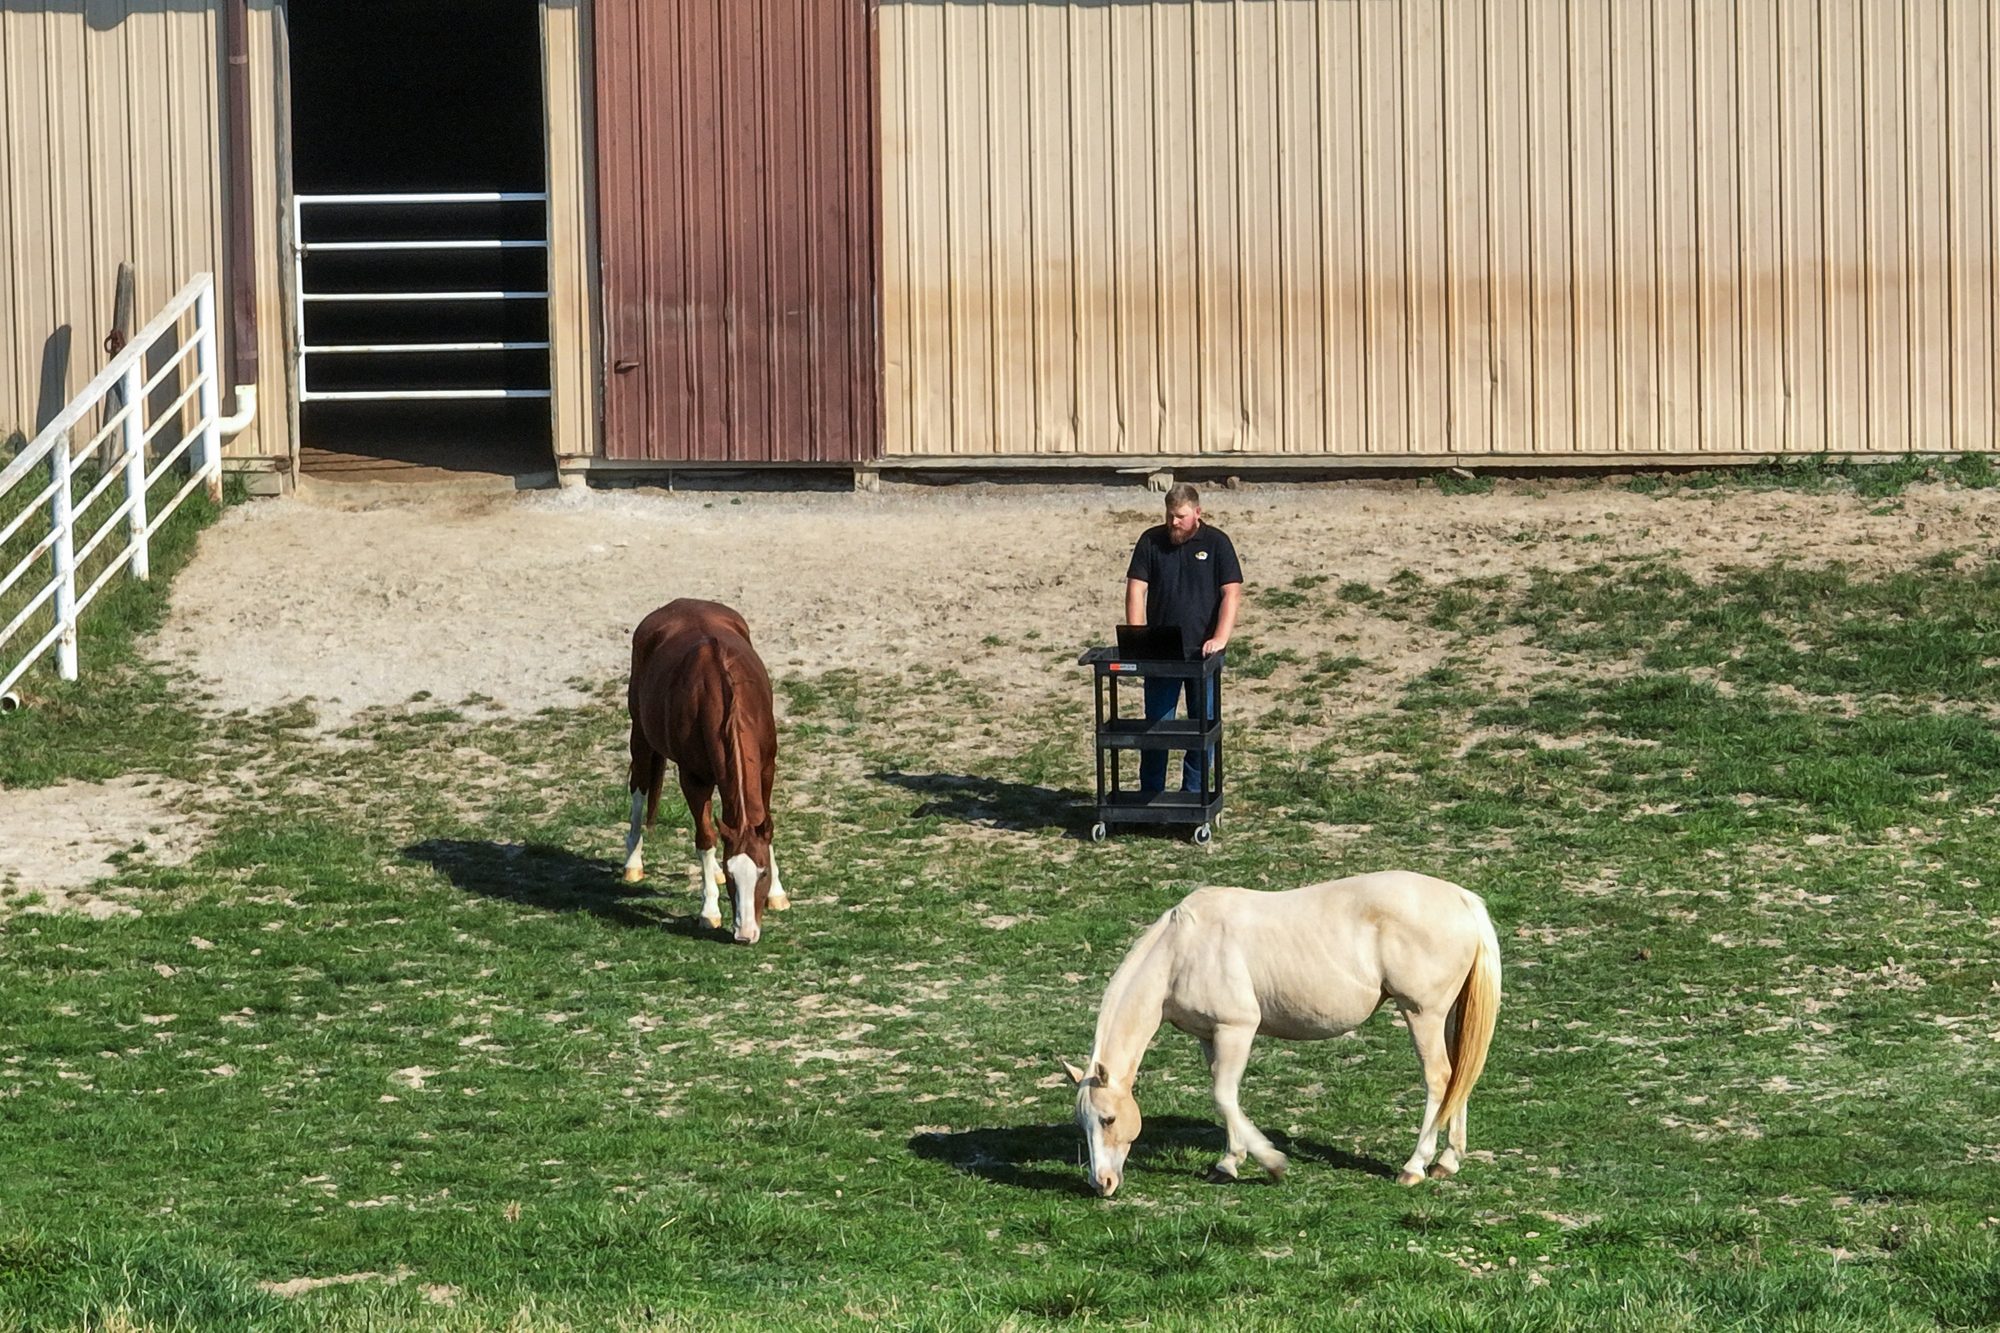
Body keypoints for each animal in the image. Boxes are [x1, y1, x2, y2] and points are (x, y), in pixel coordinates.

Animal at [620, 596, 784, 940]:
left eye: (761, 874)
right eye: (735, 878)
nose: (745, 934)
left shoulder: (767, 768)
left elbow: (765, 825)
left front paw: (778, 893)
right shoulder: (694, 779)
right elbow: (706, 839)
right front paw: (710, 911)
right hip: (640, 736)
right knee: (639, 789)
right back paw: (633, 863)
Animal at [1072, 872, 1496, 1192]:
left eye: (1109, 1119)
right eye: (1084, 1122)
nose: (1101, 1183)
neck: (1182, 950)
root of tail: (1461, 898)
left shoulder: (1237, 1030)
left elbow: (1224, 1095)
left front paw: (1272, 1163)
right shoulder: (1210, 1036)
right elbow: (1224, 1094)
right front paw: (1229, 1162)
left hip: (1422, 1015)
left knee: (1439, 1078)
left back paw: (1414, 1166)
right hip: (1447, 1016)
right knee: (1458, 1075)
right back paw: (1447, 1161)